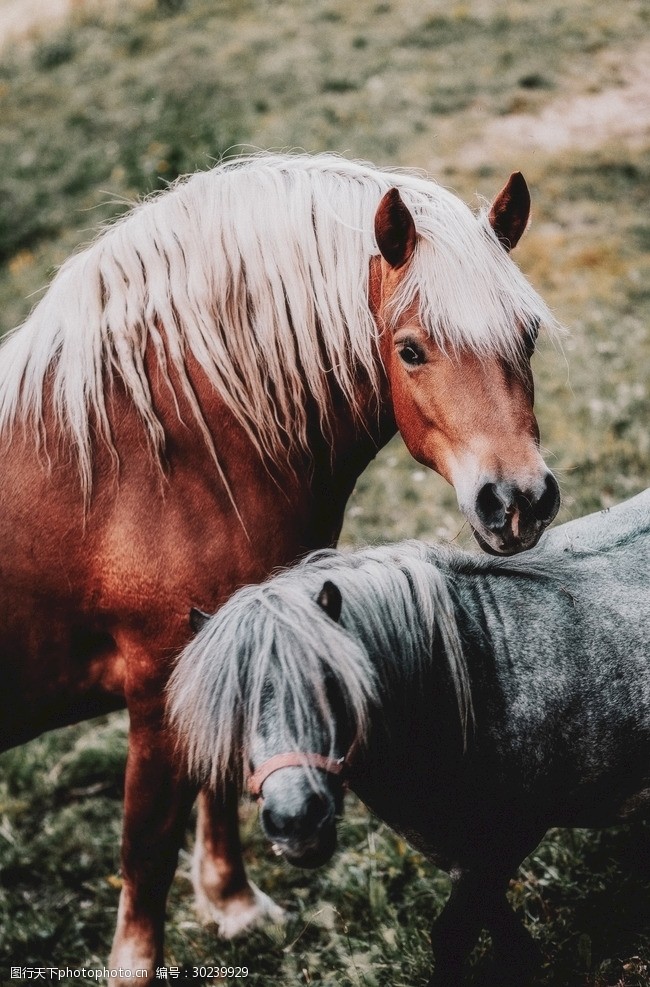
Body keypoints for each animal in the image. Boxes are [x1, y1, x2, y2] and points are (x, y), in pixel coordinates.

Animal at [0, 154, 556, 980]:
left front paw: (232, 903)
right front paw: (138, 961)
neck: (171, 449)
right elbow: (146, 847)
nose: (518, 502)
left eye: (527, 332)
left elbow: (219, 782)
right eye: (412, 349)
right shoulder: (156, 682)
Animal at [168, 490, 648, 984]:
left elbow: (452, 935)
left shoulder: (505, 842)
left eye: (332, 681)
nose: (295, 821)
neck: (478, 676)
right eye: (232, 702)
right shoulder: (463, 855)